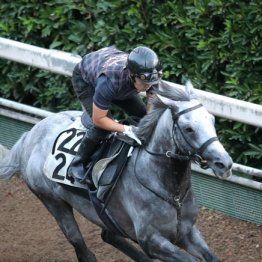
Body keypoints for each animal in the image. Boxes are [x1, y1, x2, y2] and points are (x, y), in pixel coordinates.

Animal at [0, 81, 233, 260]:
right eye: (189, 128)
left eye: (212, 120)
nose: (225, 163)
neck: (169, 189)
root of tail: (29, 136)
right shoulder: (152, 240)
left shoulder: (187, 231)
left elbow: (211, 257)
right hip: (53, 202)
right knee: (80, 246)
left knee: (109, 236)